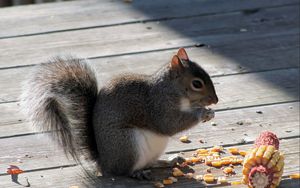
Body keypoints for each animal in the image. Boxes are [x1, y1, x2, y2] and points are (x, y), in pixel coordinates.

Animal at [20, 47, 218, 180]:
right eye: (197, 83)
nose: (215, 100)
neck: (171, 89)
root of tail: (105, 164)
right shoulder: (158, 107)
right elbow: (169, 124)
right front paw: (203, 113)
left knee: (150, 162)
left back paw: (169, 161)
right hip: (127, 144)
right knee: (124, 171)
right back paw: (137, 173)